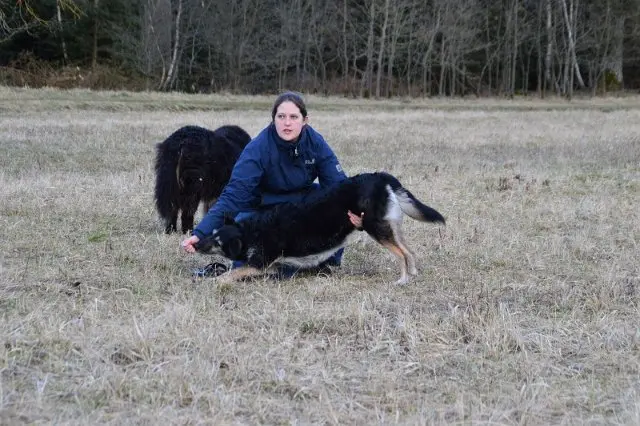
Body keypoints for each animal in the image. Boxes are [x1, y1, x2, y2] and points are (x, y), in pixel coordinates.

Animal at [195, 171, 444, 284]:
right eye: (212, 234)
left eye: (218, 243)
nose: (195, 245)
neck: (251, 232)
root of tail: (380, 177)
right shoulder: (268, 267)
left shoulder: (259, 263)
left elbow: (231, 273)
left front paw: (212, 281)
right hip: (391, 227)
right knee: (409, 251)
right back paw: (413, 273)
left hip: (376, 228)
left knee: (401, 254)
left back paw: (402, 280)